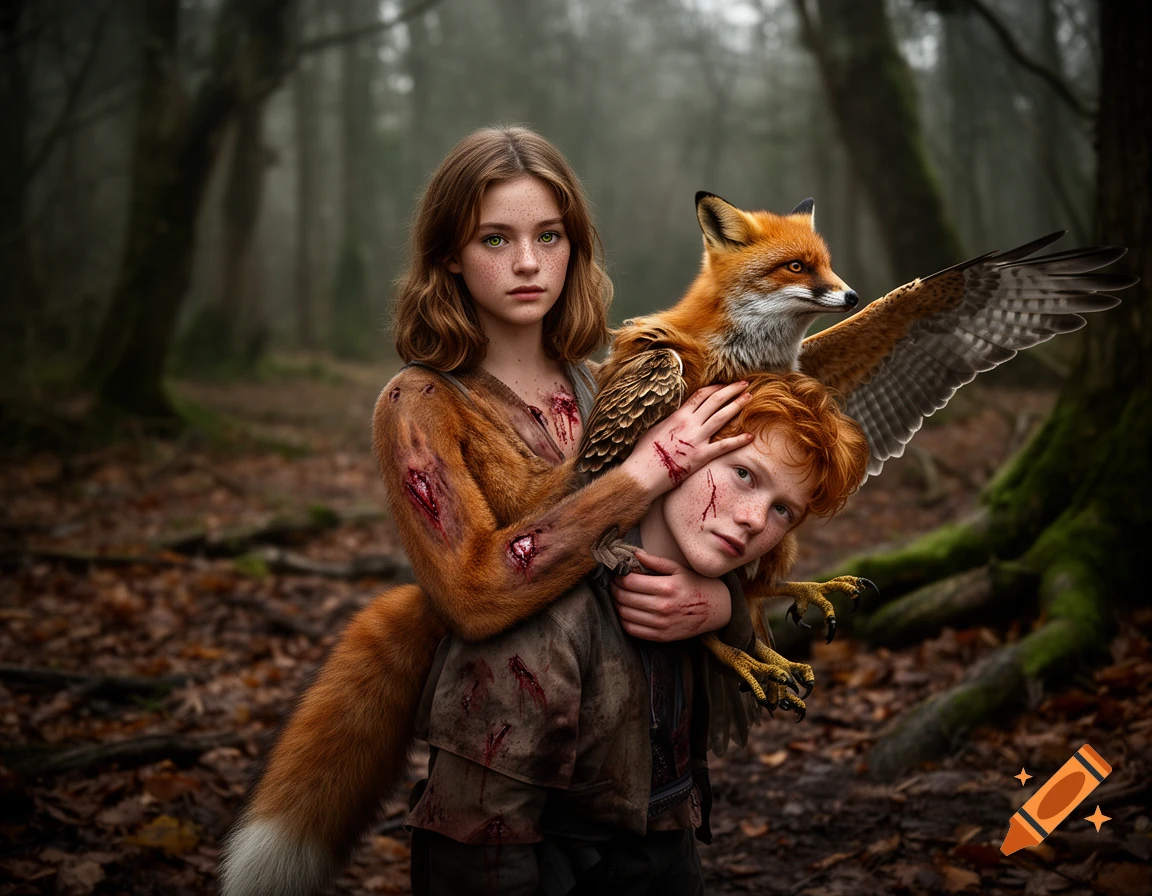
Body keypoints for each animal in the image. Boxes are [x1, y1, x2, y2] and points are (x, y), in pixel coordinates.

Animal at [221, 192, 1125, 895]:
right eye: (795, 266)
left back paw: (787, 614)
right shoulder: (633, 437)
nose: (850, 291)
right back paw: (748, 655)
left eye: (825, 263)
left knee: (752, 589)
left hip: (767, 540)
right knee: (681, 604)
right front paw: (737, 649)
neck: (743, 360)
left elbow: (943, 284)